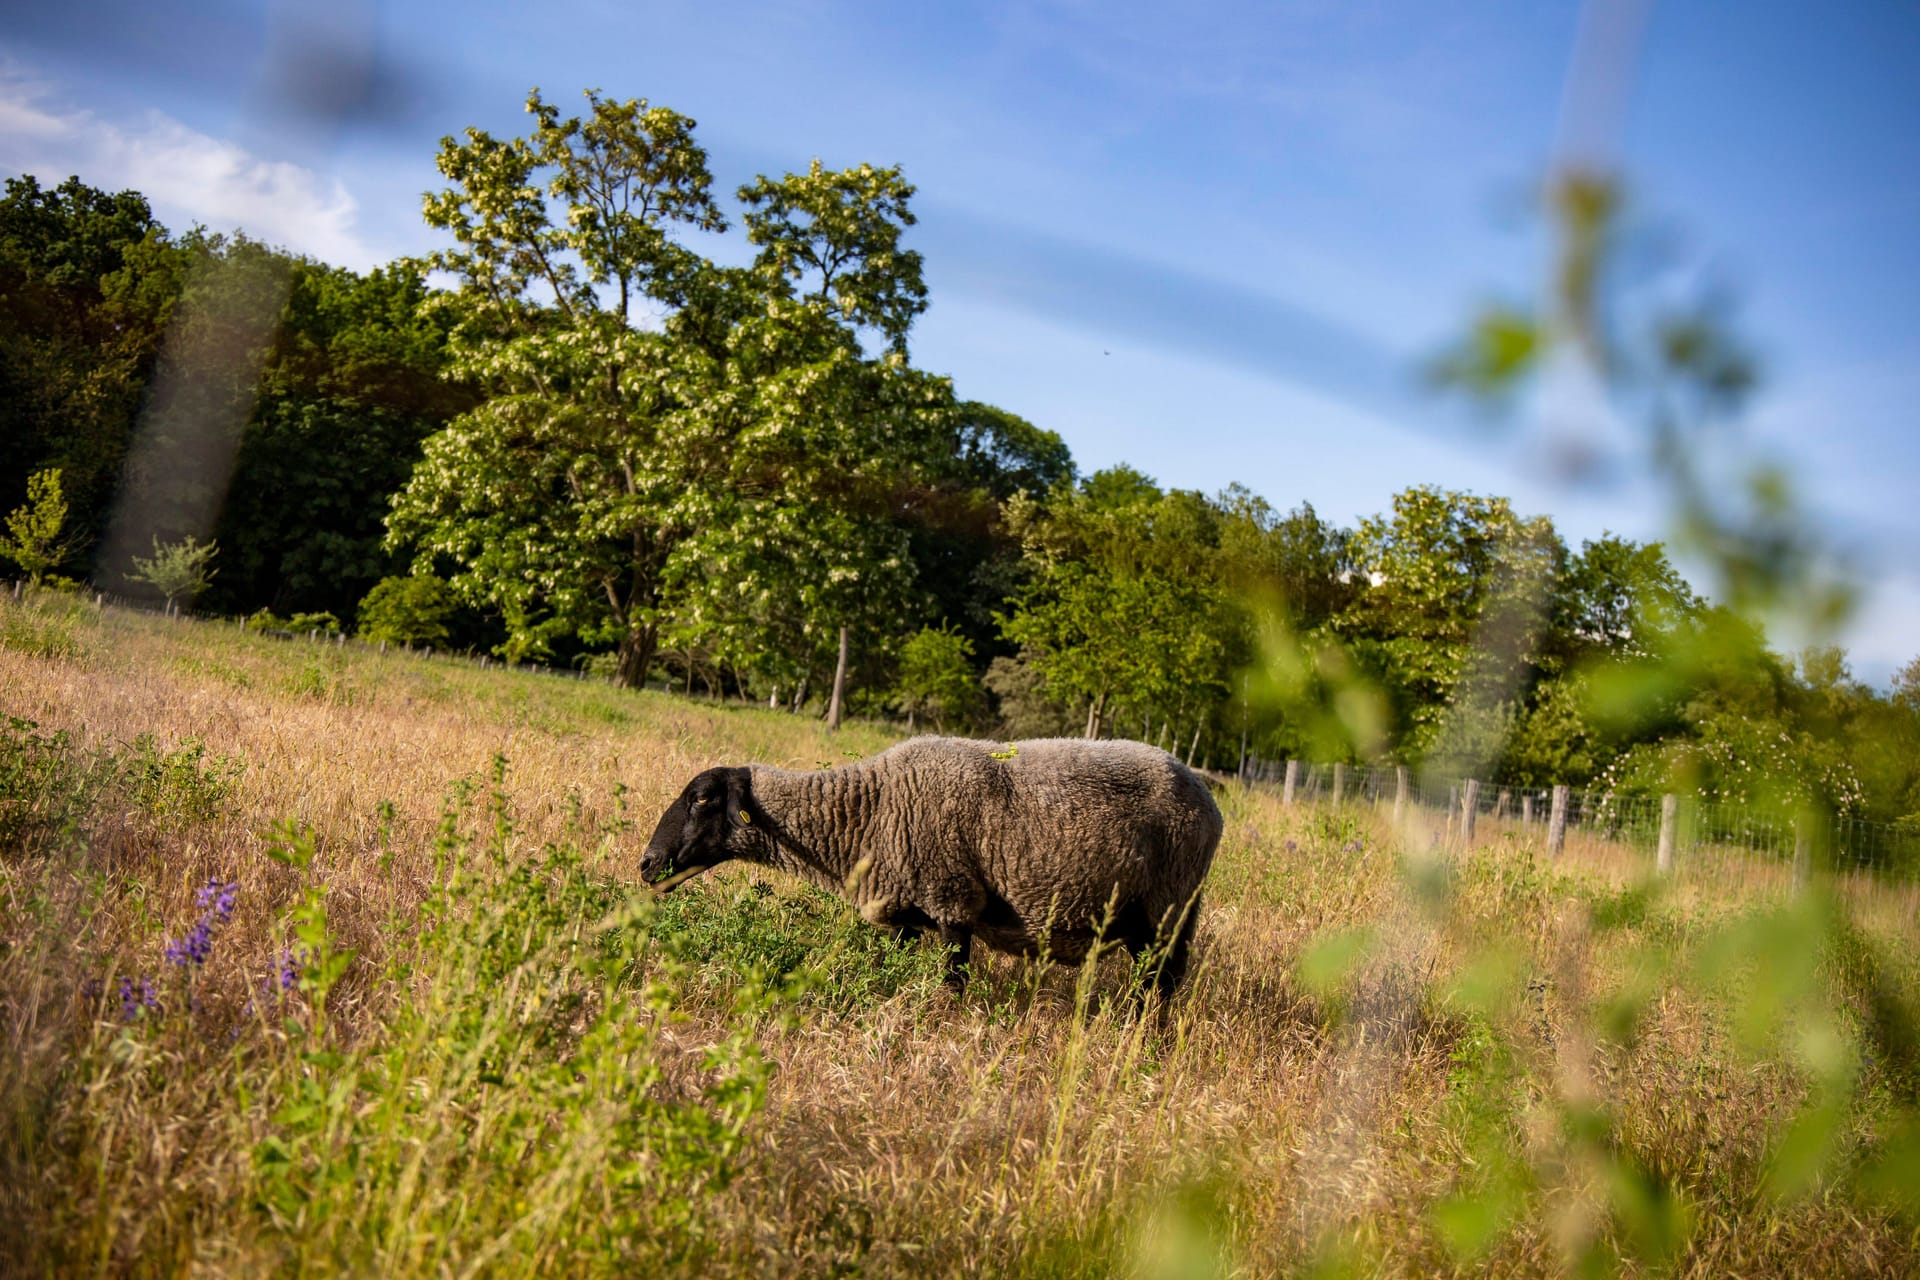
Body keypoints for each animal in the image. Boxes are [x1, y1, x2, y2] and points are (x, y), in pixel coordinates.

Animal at [637, 736, 1221, 997]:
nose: (646, 864)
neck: (868, 810)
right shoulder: (903, 916)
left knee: (1163, 985)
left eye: (703, 798)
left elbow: (951, 985)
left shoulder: (953, 902)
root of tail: (1208, 798)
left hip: (1167, 908)